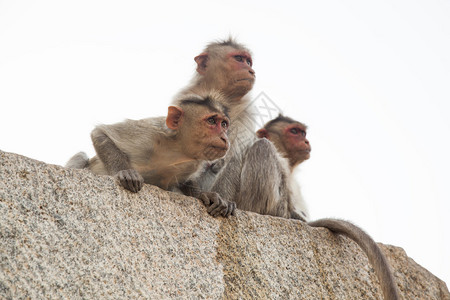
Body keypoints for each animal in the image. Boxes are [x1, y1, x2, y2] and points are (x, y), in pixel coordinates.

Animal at [67, 91, 237, 218]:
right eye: (212, 121)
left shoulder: (192, 162)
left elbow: (184, 182)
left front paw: (206, 195)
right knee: (82, 155)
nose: (225, 137)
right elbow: (100, 133)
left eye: (224, 124)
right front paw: (124, 172)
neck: (177, 148)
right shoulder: (148, 133)